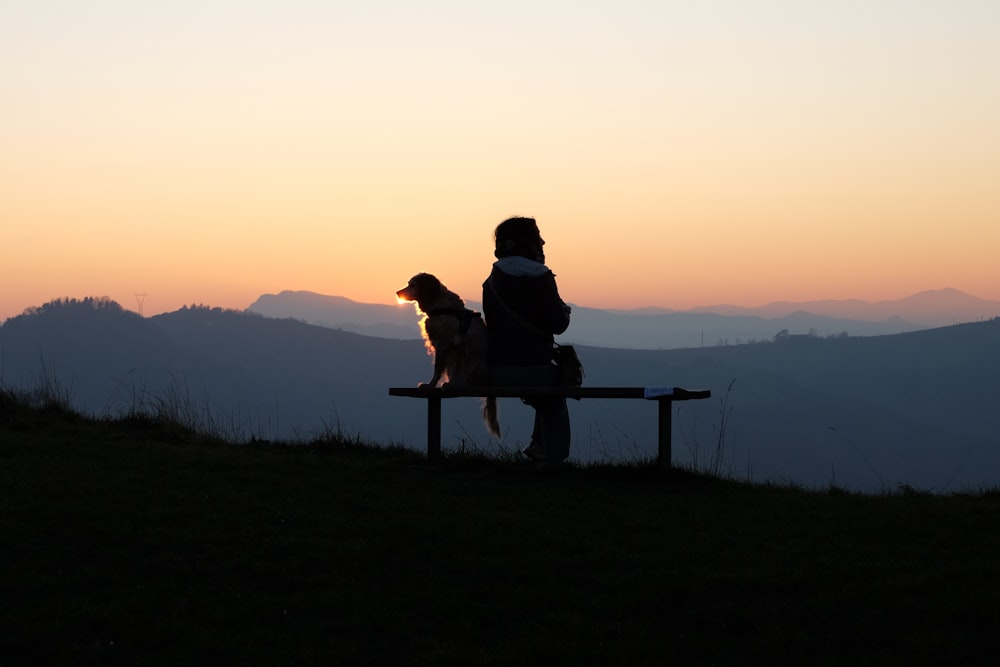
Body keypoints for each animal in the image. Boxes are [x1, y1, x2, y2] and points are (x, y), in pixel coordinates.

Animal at [396, 272, 500, 438]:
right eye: (409, 283)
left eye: (413, 285)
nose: (397, 293)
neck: (441, 307)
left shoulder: (445, 345)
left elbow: (438, 370)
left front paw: (432, 384)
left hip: (474, 361)